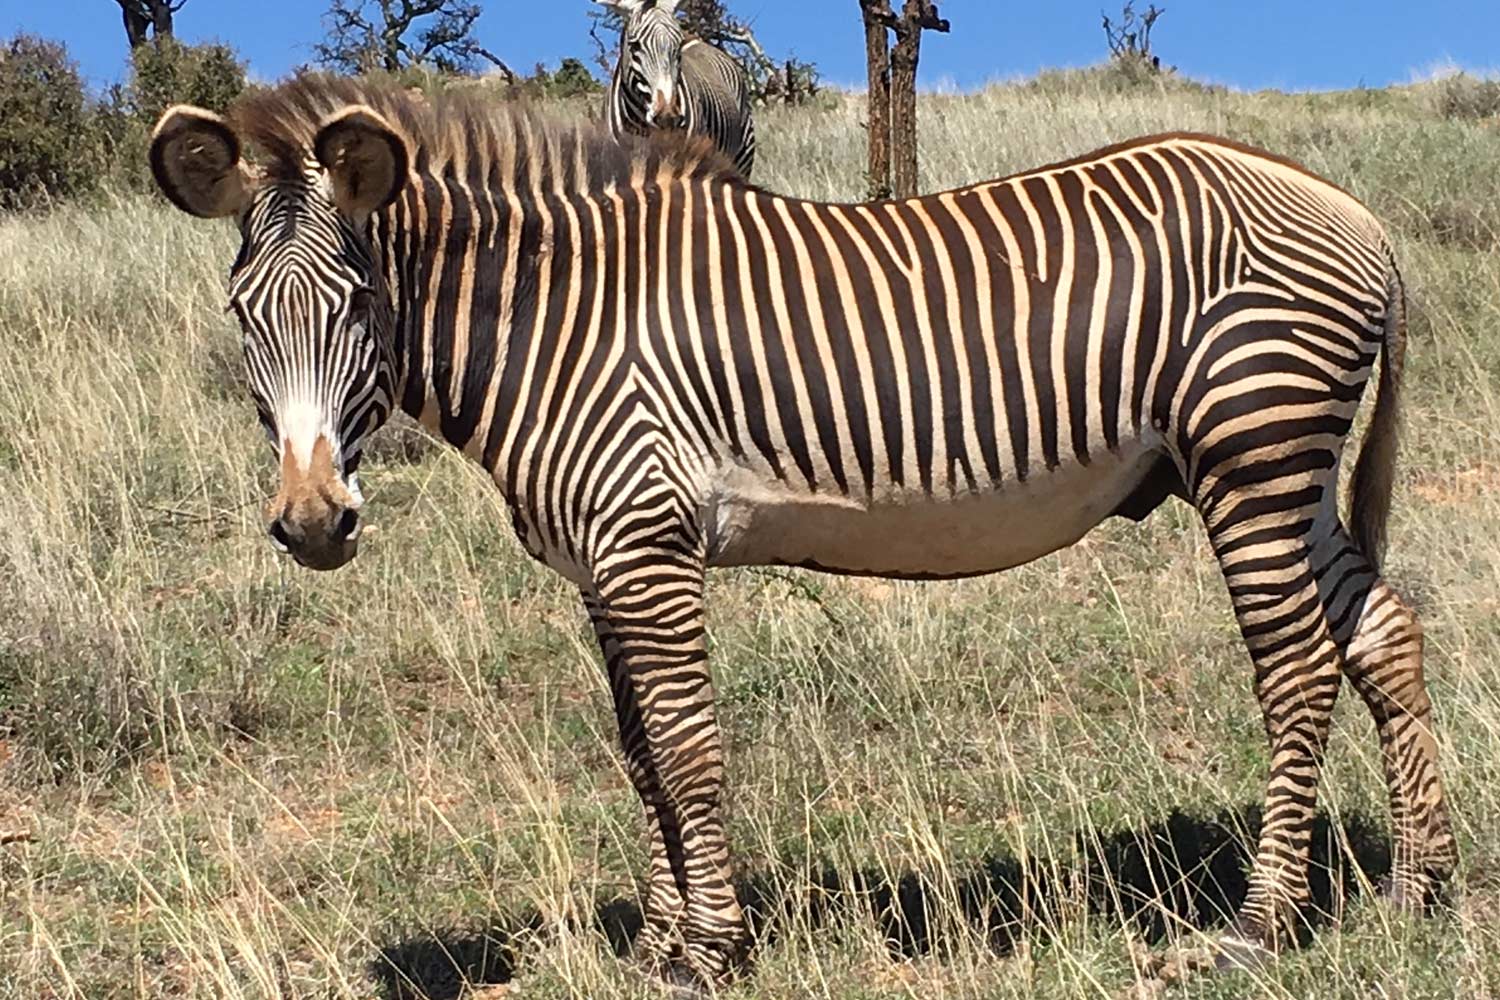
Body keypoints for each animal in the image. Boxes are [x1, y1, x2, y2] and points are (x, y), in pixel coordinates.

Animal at [148, 75, 1454, 990]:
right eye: (241, 313)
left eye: (362, 302)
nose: (314, 523)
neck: (555, 327)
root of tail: (1344, 205)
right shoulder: (601, 567)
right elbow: (639, 753)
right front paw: (661, 946)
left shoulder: (646, 543)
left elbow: (686, 747)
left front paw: (714, 951)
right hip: (1278, 468)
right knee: (1383, 633)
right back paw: (1421, 887)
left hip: (1251, 448)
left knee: (1296, 670)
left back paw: (1259, 928)